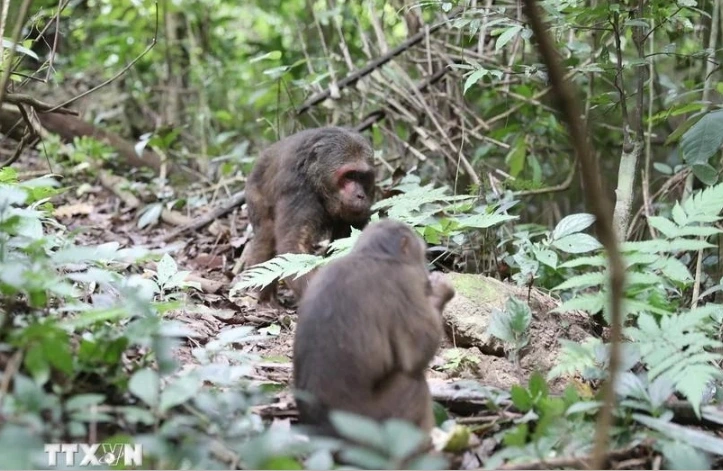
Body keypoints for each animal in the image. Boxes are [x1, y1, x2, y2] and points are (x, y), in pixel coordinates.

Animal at [243, 126, 376, 304]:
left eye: (363, 177)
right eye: (349, 176)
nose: (360, 195)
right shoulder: (298, 188)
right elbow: (293, 247)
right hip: (254, 192)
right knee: (266, 234)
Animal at [292, 219, 456, 437]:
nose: (426, 272)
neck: (374, 254)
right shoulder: (404, 282)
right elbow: (416, 356)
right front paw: (440, 288)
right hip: (377, 421)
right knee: (415, 384)